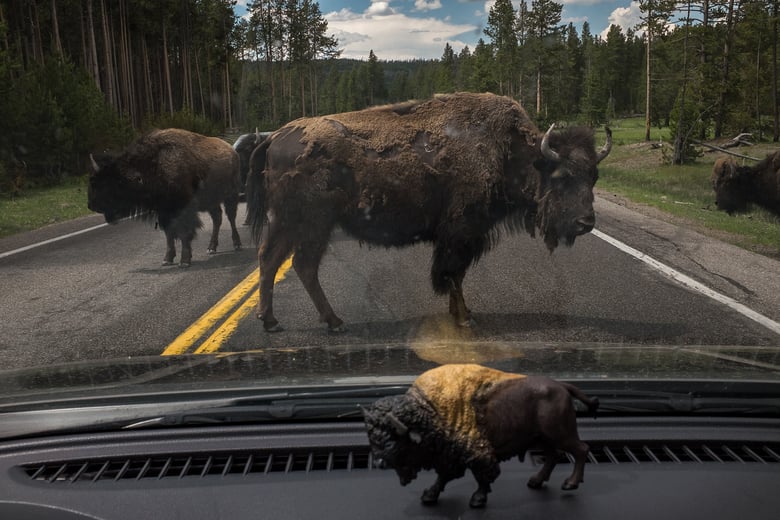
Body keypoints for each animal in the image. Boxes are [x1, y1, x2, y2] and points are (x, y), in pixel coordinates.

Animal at [87, 128, 241, 268]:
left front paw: (184, 261)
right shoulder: (164, 212)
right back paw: (211, 248)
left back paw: (237, 244)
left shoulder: (182, 209)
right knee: (217, 218)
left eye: (103, 183)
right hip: (211, 202)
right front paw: (167, 259)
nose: (91, 205)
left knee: (231, 217)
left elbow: (184, 232)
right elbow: (169, 234)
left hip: (231, 196)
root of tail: (232, 151)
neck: (153, 165)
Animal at [247, 91, 612, 332]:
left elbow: (457, 276)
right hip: (313, 224)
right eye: (562, 177)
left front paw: (460, 312)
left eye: (594, 176)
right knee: (301, 264)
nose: (586, 222)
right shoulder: (460, 233)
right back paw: (333, 322)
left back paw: (272, 321)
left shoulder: (463, 237)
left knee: (272, 259)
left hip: (288, 223)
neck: (510, 152)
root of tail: (275, 137)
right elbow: (452, 274)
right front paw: (465, 317)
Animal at [362, 364, 600, 506]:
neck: (427, 411)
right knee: (553, 456)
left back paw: (570, 483)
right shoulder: (449, 456)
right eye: (373, 438)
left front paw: (477, 499)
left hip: (560, 434)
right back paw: (535, 481)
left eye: (394, 441)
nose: (380, 461)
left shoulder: (476, 453)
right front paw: (429, 495)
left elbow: (482, 476)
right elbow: (443, 476)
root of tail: (561, 386)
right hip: (542, 438)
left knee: (581, 449)